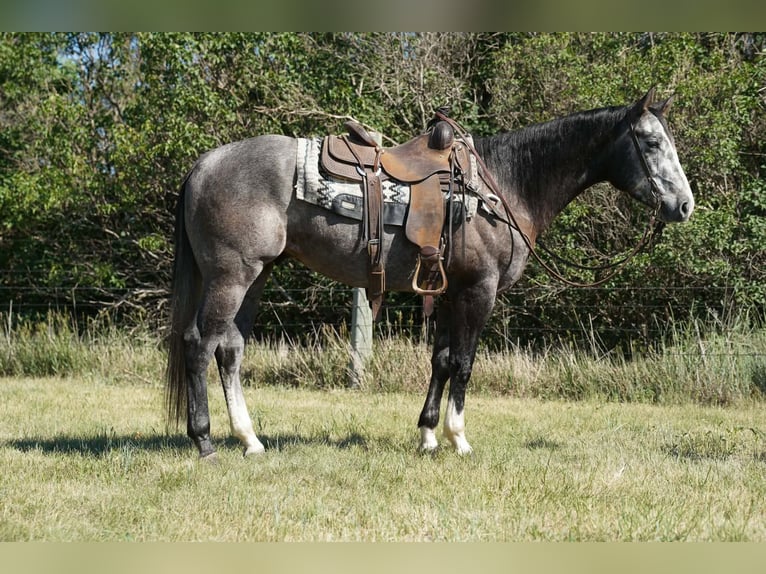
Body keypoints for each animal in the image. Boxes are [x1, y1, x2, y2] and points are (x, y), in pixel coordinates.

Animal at [165, 88, 694, 461]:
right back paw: (205, 442)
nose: (685, 205)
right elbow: (463, 362)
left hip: (256, 275)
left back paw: (250, 439)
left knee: (230, 350)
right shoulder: (478, 291)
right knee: (199, 344)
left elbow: (440, 361)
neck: (503, 187)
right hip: (232, 275)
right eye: (651, 142)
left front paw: (428, 435)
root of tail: (204, 164)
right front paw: (459, 439)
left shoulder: (448, 291)